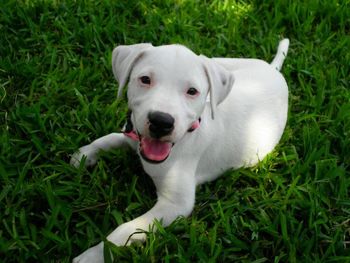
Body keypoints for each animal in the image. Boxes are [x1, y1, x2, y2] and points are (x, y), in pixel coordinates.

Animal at [71, 38, 290, 262]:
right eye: (145, 79)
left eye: (192, 91)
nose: (161, 122)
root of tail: (272, 70)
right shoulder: (133, 136)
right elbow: (110, 139)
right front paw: (84, 155)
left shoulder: (175, 205)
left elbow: (128, 228)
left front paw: (96, 254)